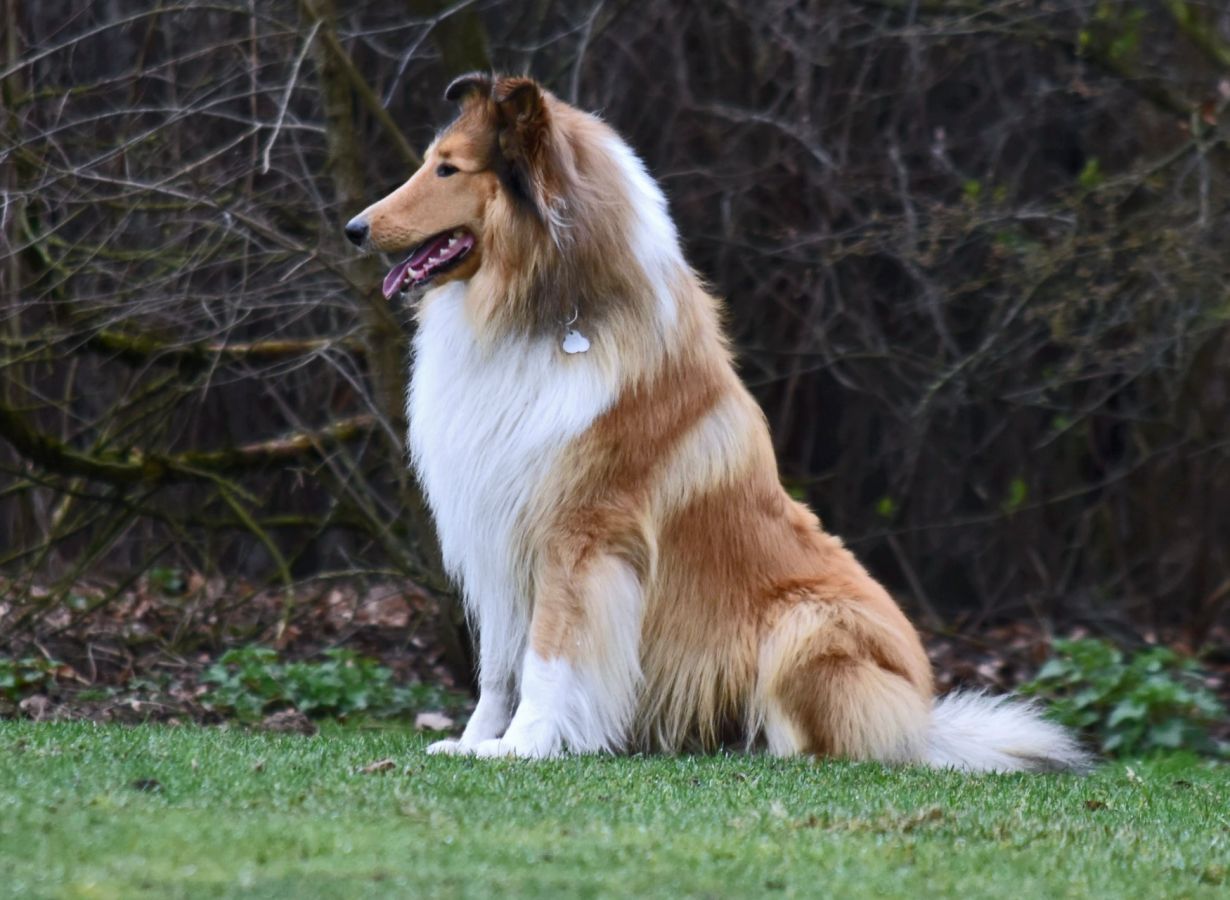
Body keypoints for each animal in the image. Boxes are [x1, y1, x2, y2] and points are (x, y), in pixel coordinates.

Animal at [344, 73, 1088, 771]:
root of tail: (924, 720)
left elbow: (550, 655)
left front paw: (524, 747)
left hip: (804, 622)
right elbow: (500, 667)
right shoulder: (499, 529)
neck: (541, 315)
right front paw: (473, 742)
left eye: (449, 168)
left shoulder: (580, 534)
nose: (354, 228)